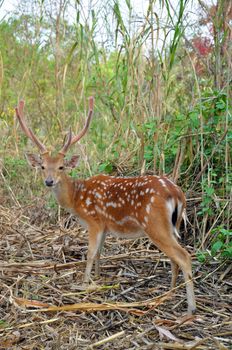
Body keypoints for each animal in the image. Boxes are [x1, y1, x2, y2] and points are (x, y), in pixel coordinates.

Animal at [14, 98, 196, 314]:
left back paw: (190, 308)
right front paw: (98, 277)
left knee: (184, 256)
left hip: (154, 223)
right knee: (175, 257)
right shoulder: (105, 226)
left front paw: (84, 283)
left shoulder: (94, 221)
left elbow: (90, 253)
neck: (76, 198)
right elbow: (100, 252)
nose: (49, 181)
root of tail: (177, 193)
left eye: (61, 166)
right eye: (42, 166)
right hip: (175, 224)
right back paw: (169, 292)